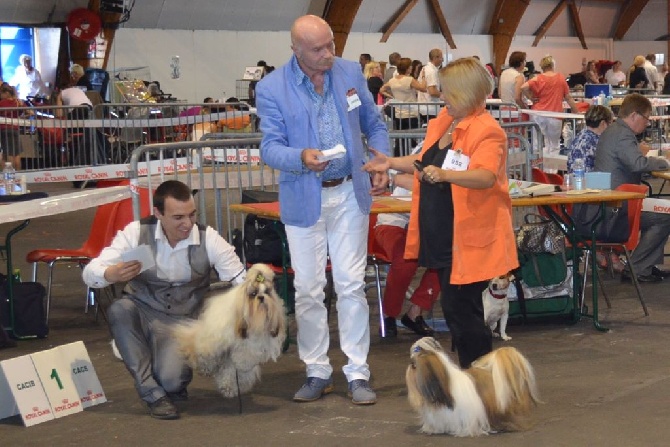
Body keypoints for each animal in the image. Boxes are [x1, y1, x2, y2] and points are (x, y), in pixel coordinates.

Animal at [173, 262, 286, 400]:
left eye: (267, 292)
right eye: (253, 294)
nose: (261, 297)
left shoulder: (247, 350)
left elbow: (236, 367)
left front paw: (231, 387)